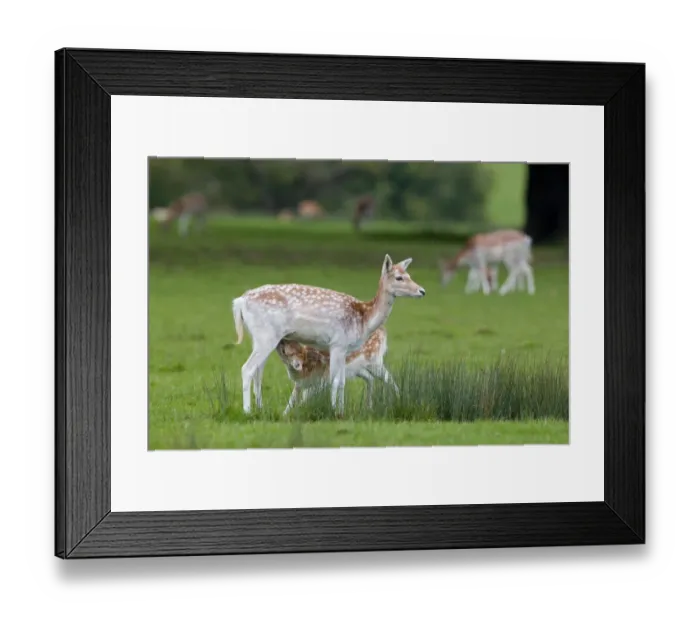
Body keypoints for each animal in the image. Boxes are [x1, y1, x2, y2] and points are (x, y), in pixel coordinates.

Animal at [232, 254, 425, 416]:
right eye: (399, 277)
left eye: (409, 275)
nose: (422, 291)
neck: (364, 319)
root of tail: (240, 301)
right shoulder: (338, 343)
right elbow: (335, 380)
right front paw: (333, 411)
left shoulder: (344, 348)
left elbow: (342, 381)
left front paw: (341, 411)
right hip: (266, 335)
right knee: (247, 368)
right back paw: (247, 411)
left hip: (259, 337)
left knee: (258, 372)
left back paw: (261, 409)